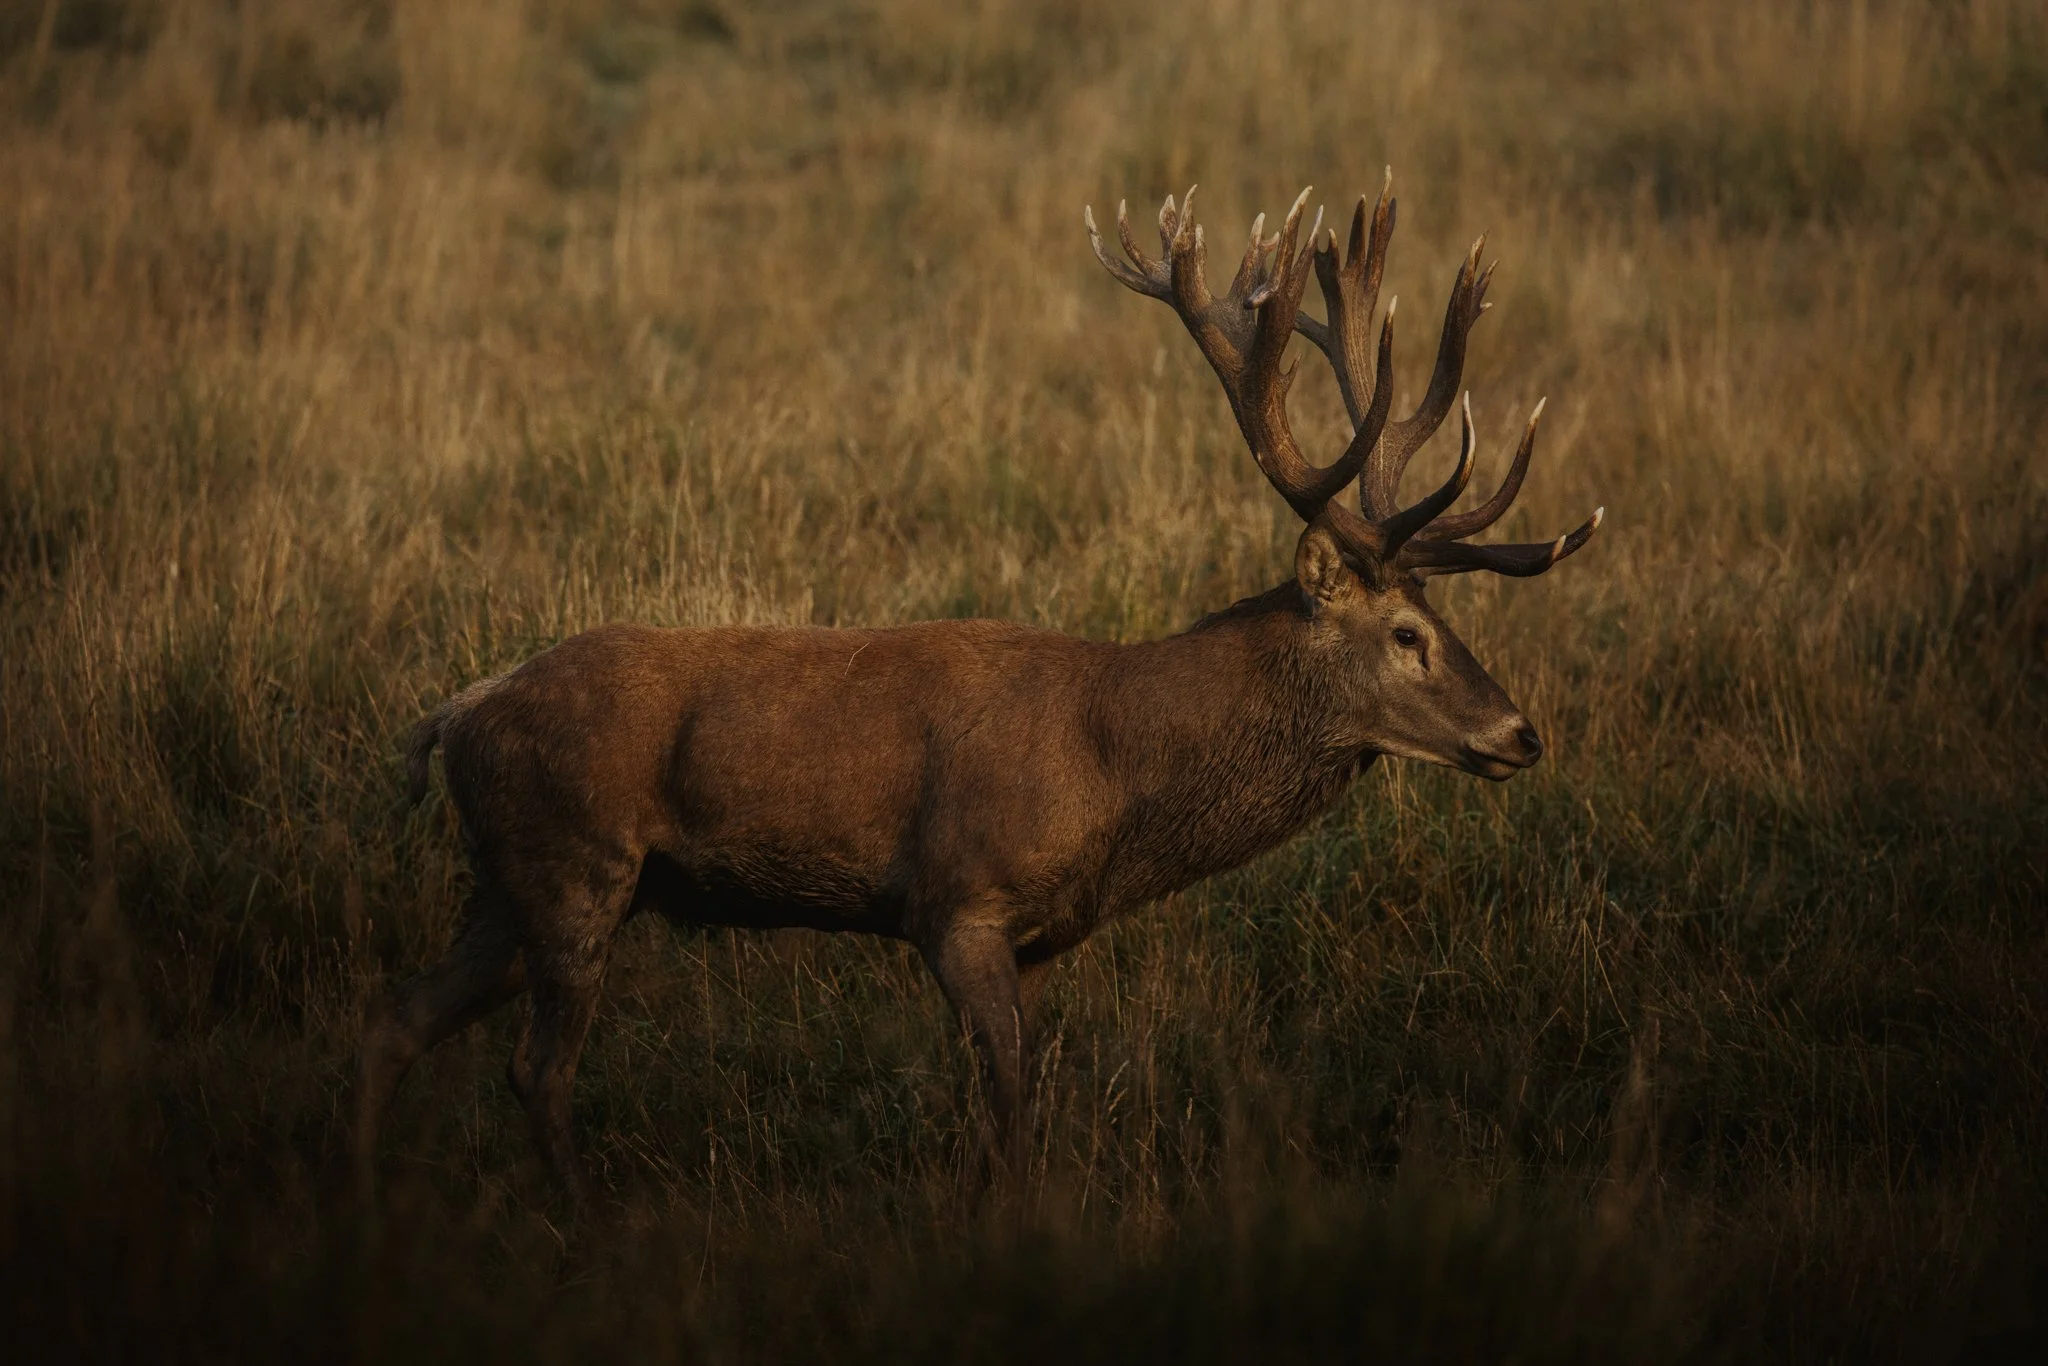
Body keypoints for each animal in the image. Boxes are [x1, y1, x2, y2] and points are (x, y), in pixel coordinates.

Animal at [355, 174, 1602, 1207]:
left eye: (1443, 621)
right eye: (1405, 633)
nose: (1519, 733)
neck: (1114, 772)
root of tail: (454, 716)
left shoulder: (1042, 936)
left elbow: (1021, 1095)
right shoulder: (954, 897)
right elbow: (1003, 1102)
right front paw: (1003, 1228)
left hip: (511, 880)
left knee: (400, 1013)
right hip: (576, 861)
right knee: (536, 1067)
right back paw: (578, 1219)